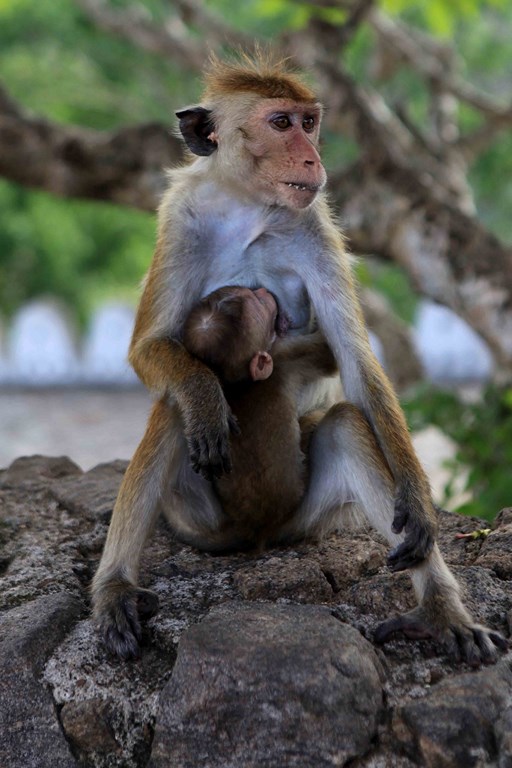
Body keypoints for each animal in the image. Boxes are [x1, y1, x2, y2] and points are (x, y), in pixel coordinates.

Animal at [181, 284, 337, 549]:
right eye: (259, 304)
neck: (242, 383)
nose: (262, 291)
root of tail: (256, 528)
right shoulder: (288, 354)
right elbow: (328, 352)